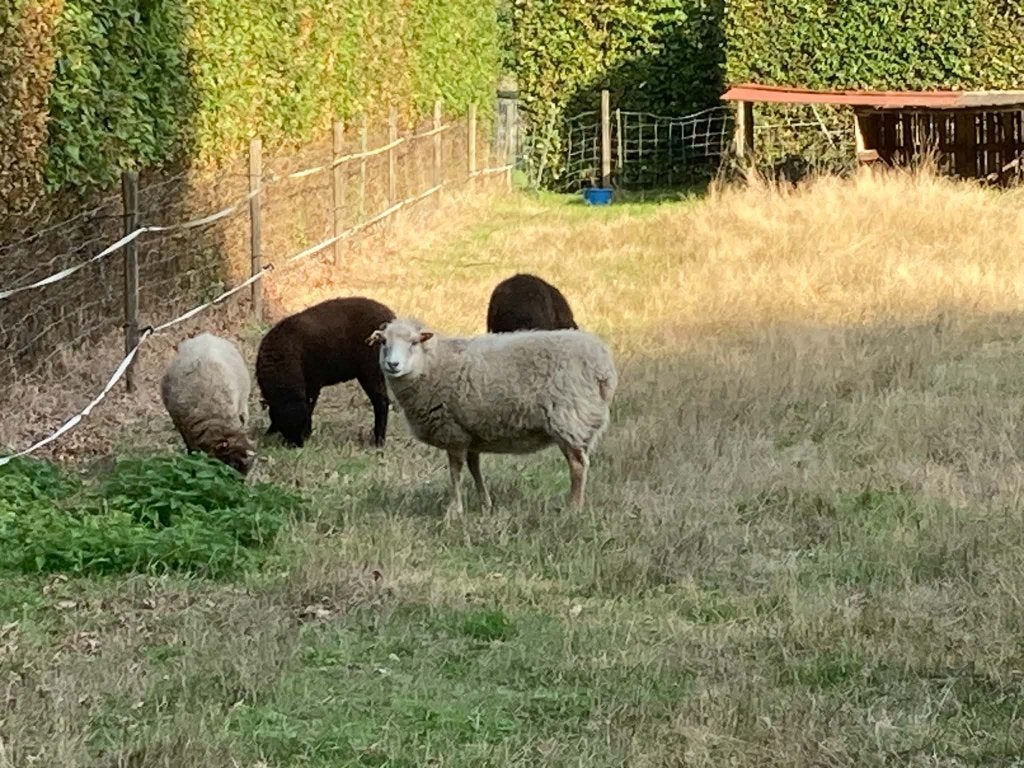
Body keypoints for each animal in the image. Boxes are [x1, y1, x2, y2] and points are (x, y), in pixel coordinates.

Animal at [256, 296, 396, 448]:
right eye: (282, 420)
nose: (298, 445)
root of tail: (390, 316)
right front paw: (269, 433)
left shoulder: (313, 382)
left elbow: (310, 407)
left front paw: (306, 433)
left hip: (370, 370)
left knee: (381, 402)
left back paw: (379, 441)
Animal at [367, 317, 617, 520]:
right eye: (383, 342)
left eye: (413, 342)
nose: (392, 365)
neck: (432, 365)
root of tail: (604, 367)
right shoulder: (470, 433)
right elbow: (474, 467)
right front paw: (485, 504)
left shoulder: (453, 431)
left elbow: (455, 472)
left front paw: (454, 511)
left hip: (569, 419)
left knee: (578, 466)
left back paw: (574, 508)